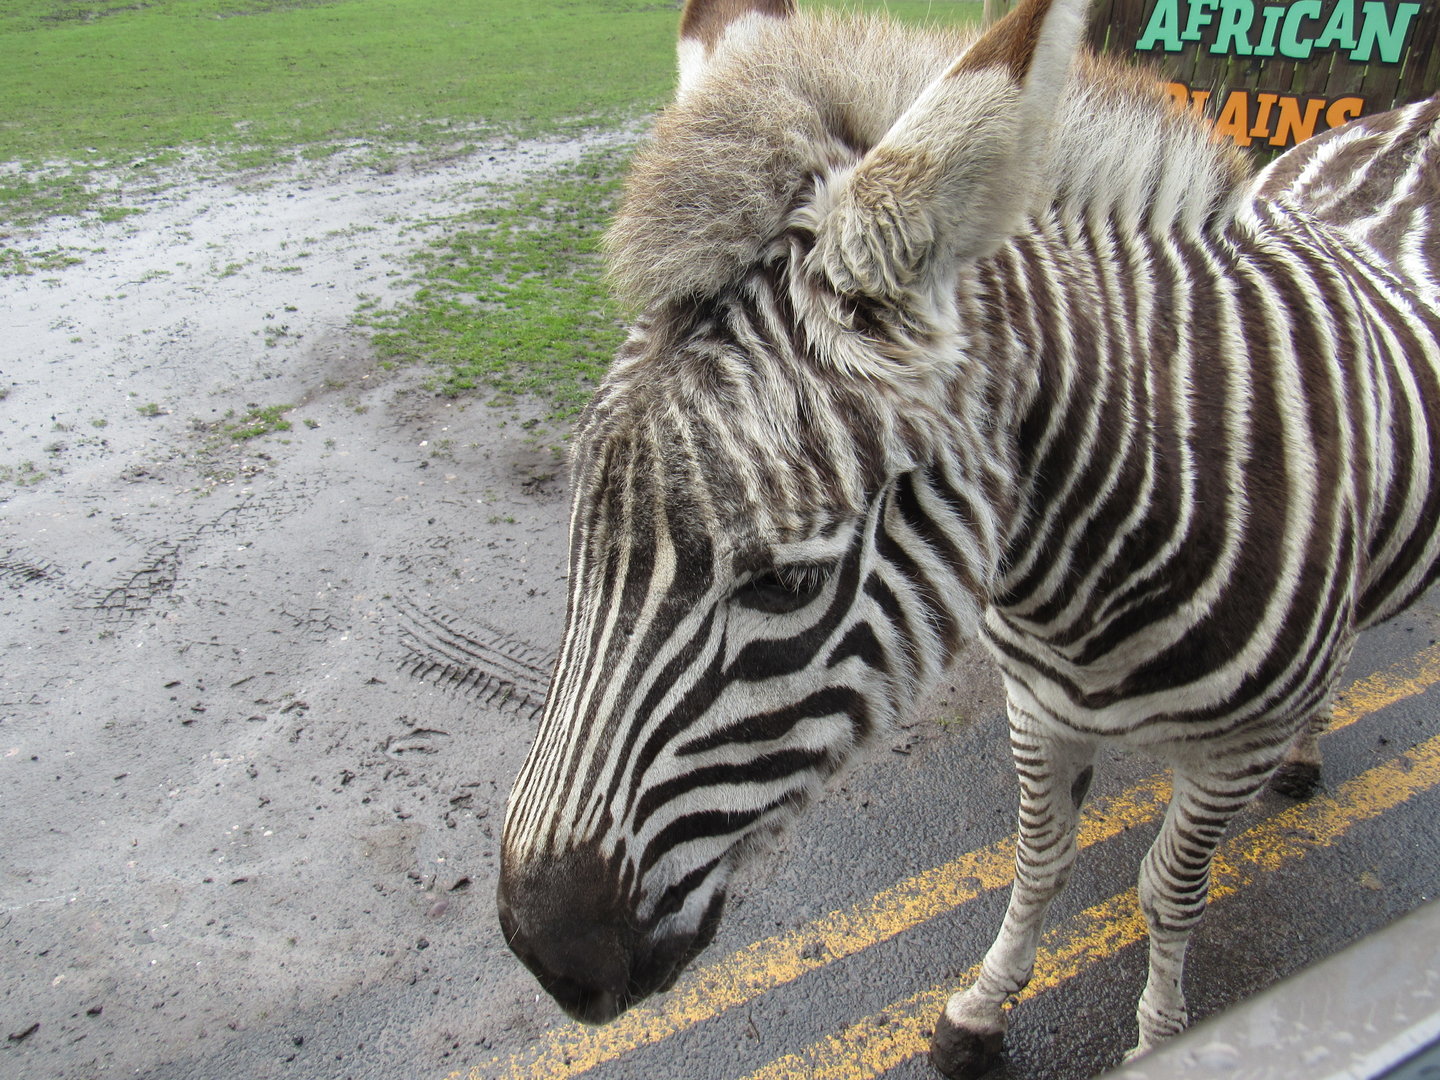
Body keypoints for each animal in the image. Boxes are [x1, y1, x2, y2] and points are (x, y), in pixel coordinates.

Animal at [497, 0, 1440, 1074]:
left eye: (786, 584)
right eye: (581, 529)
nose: (547, 955)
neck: (1086, 586)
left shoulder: (1226, 754)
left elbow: (1169, 893)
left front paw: (1161, 1038)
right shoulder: (1037, 707)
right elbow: (1037, 861)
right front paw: (981, 1007)